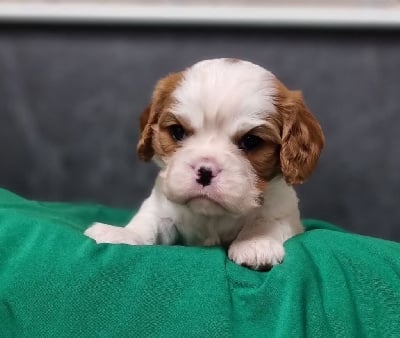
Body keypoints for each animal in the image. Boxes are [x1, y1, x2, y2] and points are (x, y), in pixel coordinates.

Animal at [85, 58, 324, 270]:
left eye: (251, 141)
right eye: (177, 132)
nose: (205, 171)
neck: (212, 216)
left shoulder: (285, 213)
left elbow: (267, 221)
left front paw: (256, 242)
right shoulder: (161, 207)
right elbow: (148, 221)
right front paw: (123, 233)